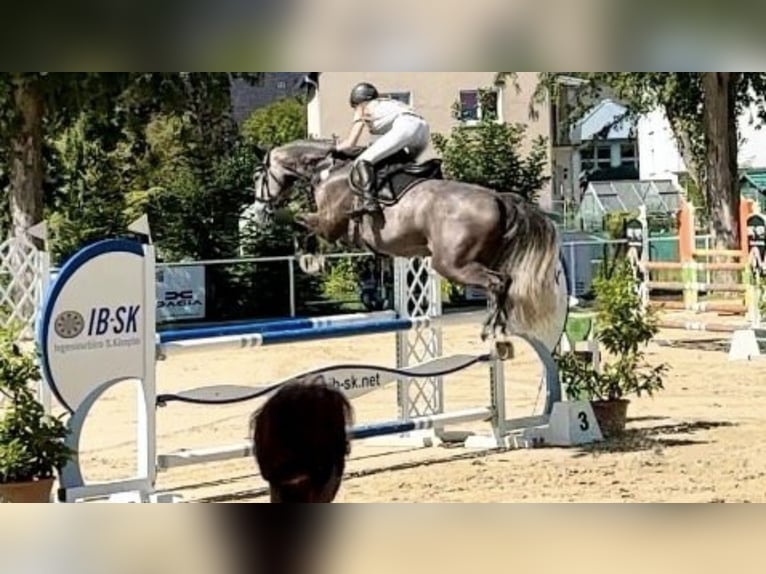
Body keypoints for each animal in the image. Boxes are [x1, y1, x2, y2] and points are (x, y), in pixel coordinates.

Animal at [251, 138, 570, 352]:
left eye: (257, 176)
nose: (259, 208)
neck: (327, 170)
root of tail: (499, 199)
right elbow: (300, 221)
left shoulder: (329, 225)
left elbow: (299, 221)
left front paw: (309, 259)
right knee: (505, 283)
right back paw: (499, 326)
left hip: (452, 264)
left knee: (498, 282)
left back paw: (490, 329)